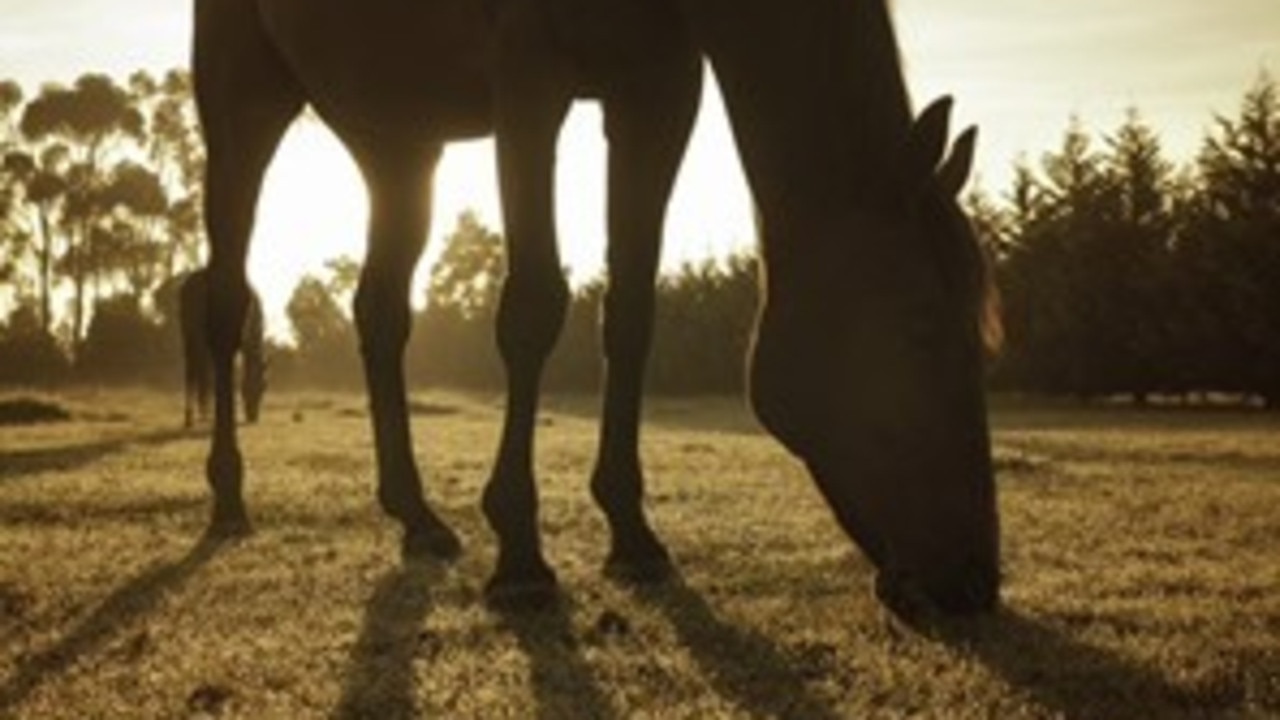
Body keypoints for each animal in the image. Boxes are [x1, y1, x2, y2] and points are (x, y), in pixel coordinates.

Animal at [180, 266, 267, 427]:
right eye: (264, 385)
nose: (253, 416)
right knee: (201, 372)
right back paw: (203, 414)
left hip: (189, 337)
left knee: (192, 372)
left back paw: (190, 416)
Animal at [194, 0, 1003, 614]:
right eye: (922, 329)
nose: (973, 581)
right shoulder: (529, 74)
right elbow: (534, 305)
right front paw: (520, 553)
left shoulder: (657, 89)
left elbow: (633, 310)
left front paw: (632, 532)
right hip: (241, 107)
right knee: (226, 304)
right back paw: (228, 497)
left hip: (397, 134)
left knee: (380, 312)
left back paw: (416, 515)